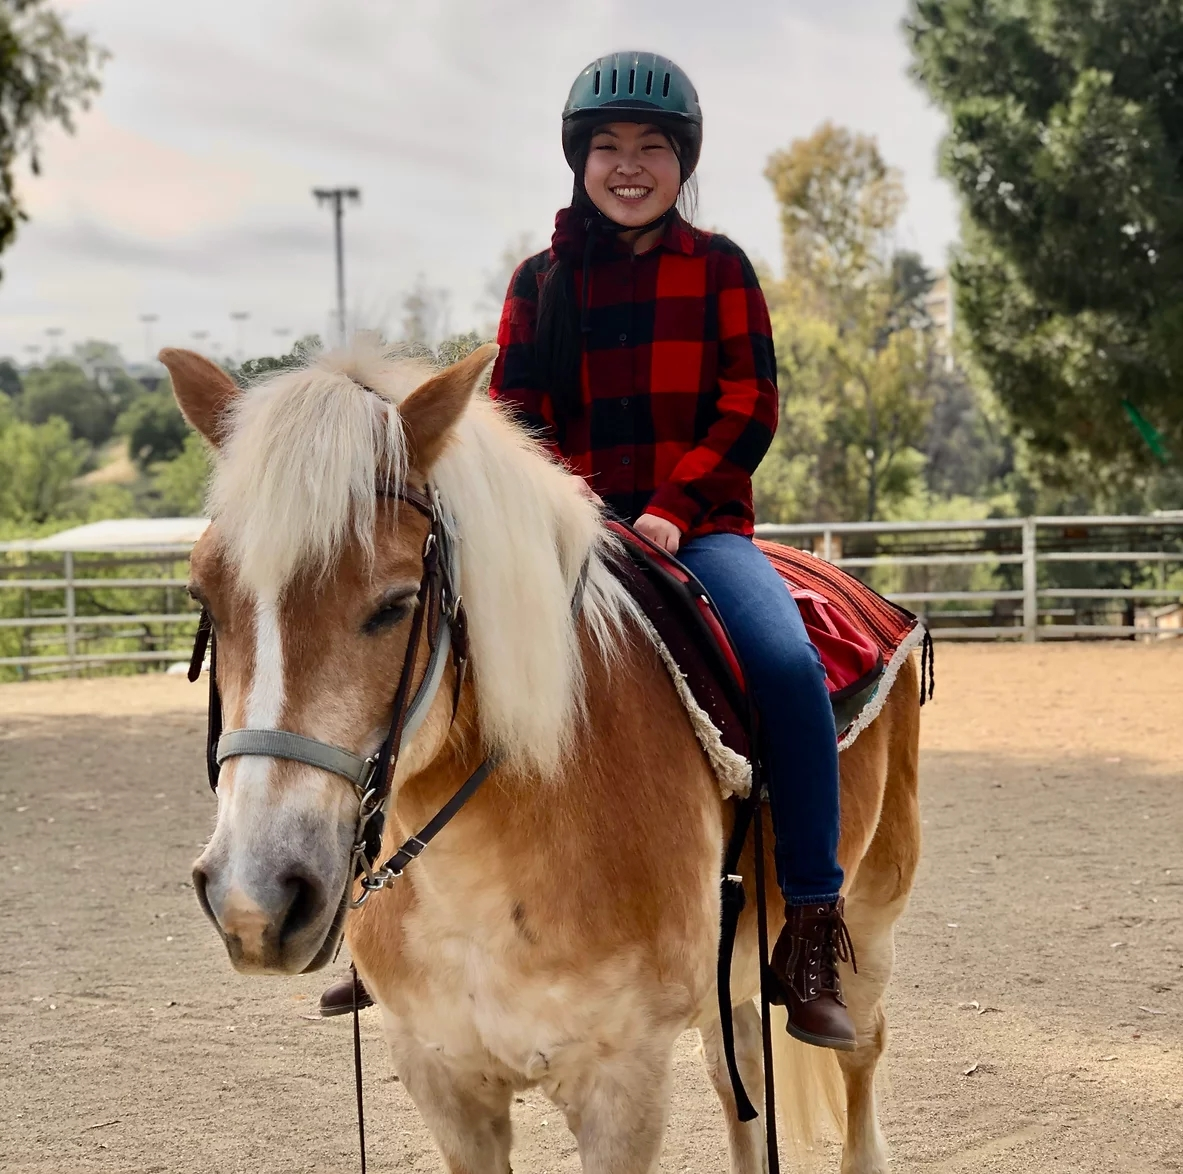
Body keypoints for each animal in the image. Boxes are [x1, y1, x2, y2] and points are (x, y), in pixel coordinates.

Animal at [164, 338, 922, 1174]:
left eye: (395, 604)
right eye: (204, 596)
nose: (255, 898)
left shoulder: (621, 1088)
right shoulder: (444, 1082)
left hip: (870, 920)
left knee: (860, 1052)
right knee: (742, 1074)